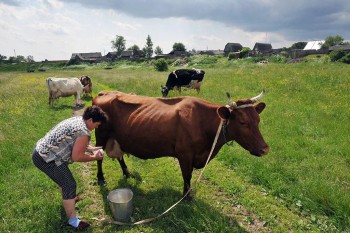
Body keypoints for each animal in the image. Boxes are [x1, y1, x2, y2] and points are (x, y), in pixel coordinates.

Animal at [92, 90, 268, 198]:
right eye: (243, 122)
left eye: (258, 120)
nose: (265, 149)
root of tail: (103, 93)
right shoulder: (185, 154)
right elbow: (187, 175)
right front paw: (186, 196)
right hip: (100, 136)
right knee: (99, 157)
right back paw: (101, 178)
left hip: (117, 137)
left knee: (120, 155)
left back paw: (127, 173)